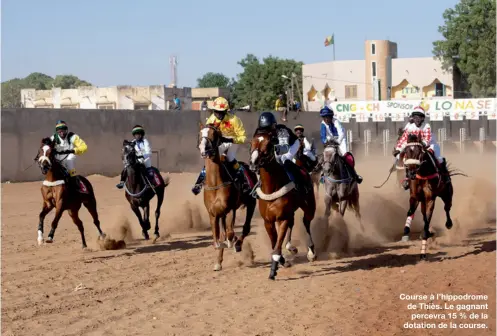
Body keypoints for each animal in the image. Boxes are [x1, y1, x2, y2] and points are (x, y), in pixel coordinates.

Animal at [196, 122, 256, 272]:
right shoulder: (213, 214)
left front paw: (232, 242)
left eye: (214, 134)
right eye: (200, 134)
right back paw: (219, 262)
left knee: (246, 227)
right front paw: (218, 258)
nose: (204, 149)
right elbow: (217, 238)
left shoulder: (230, 210)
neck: (216, 183)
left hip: (251, 203)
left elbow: (229, 234)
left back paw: (238, 244)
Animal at [247, 130, 314, 280]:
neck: (272, 188)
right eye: (251, 143)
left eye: (268, 145)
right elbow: (275, 242)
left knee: (306, 222)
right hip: (291, 212)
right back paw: (291, 247)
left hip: (309, 207)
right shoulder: (268, 221)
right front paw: (282, 261)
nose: (253, 164)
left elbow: (277, 246)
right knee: (292, 223)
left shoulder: (282, 218)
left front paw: (274, 269)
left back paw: (311, 252)